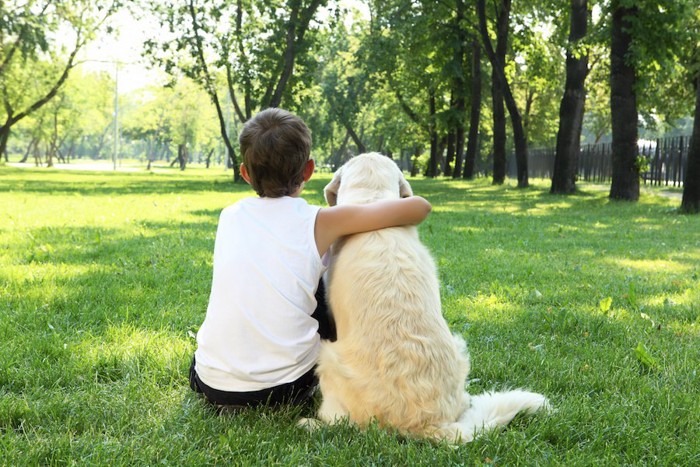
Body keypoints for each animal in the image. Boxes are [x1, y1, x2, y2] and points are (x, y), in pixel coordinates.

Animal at [300, 153, 548, 442]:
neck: (373, 200)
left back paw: (310, 423)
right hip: (459, 349)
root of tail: (430, 424)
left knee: (340, 423)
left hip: (328, 357)